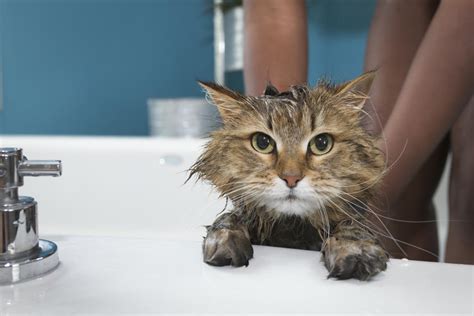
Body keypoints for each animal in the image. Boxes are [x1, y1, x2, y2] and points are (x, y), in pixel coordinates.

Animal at [189, 73, 388, 280]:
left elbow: (352, 226)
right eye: (262, 142)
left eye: (322, 143)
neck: (293, 230)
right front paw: (224, 239)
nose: (291, 178)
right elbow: (229, 217)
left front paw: (356, 249)